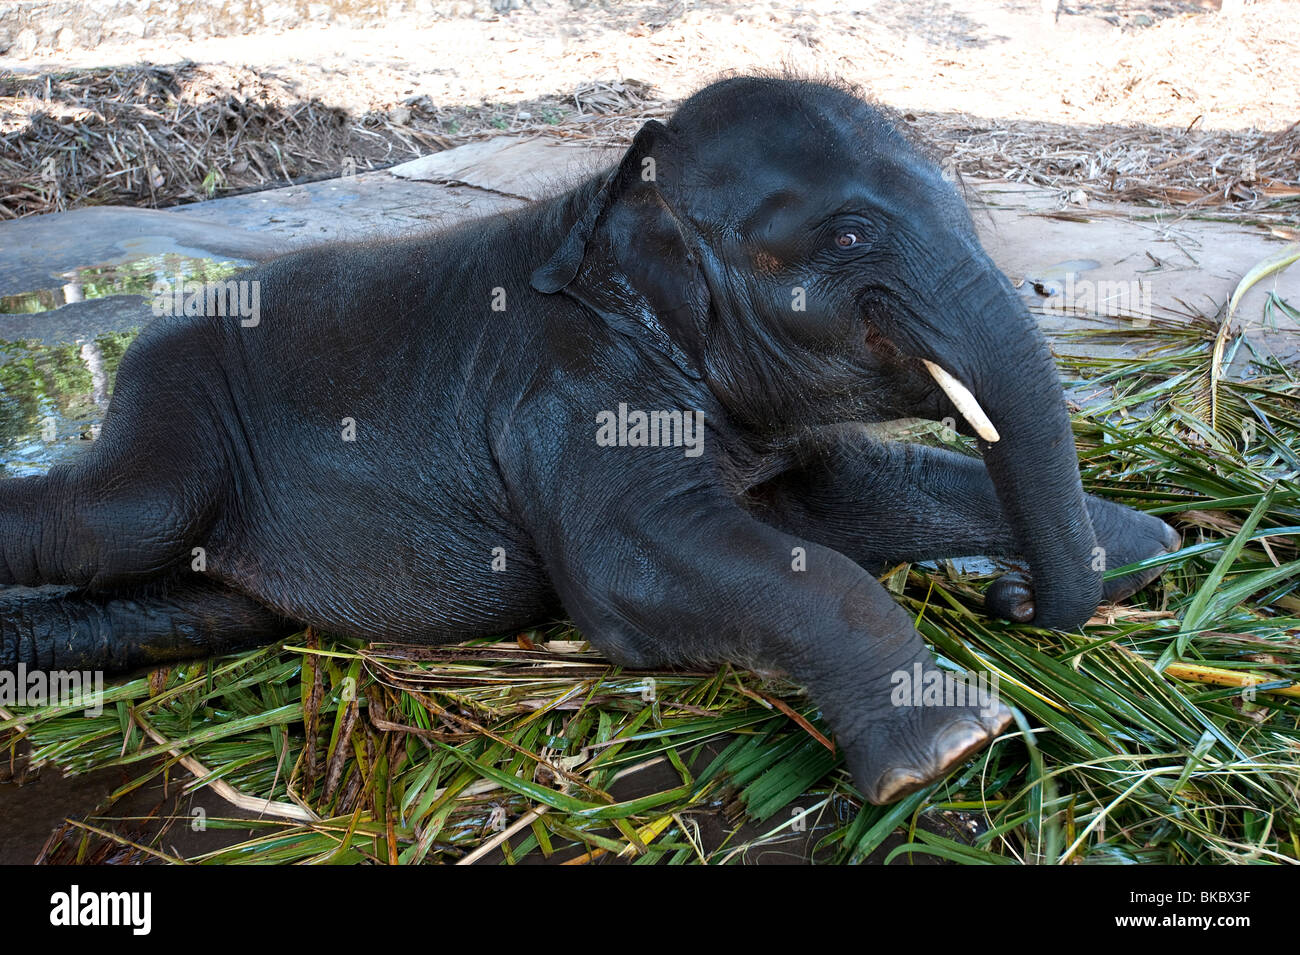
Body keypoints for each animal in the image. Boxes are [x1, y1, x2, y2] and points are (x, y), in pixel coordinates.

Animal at [0, 76, 1180, 805]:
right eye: (849, 236)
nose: (1014, 600)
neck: (612, 197)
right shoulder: (566, 395)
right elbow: (636, 571)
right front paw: (948, 746)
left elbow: (852, 491)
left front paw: (1147, 551)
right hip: (173, 412)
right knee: (114, 517)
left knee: (189, 609)